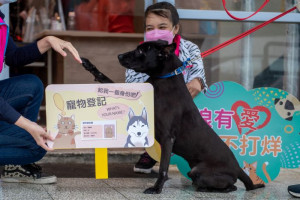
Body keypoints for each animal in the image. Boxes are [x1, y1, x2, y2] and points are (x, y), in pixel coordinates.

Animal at [118, 40, 264, 194]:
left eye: (141, 51)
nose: (119, 56)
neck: (163, 79)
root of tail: (238, 168)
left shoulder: (167, 138)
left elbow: (163, 168)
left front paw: (157, 188)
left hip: (198, 171)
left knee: (231, 186)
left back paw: (205, 188)